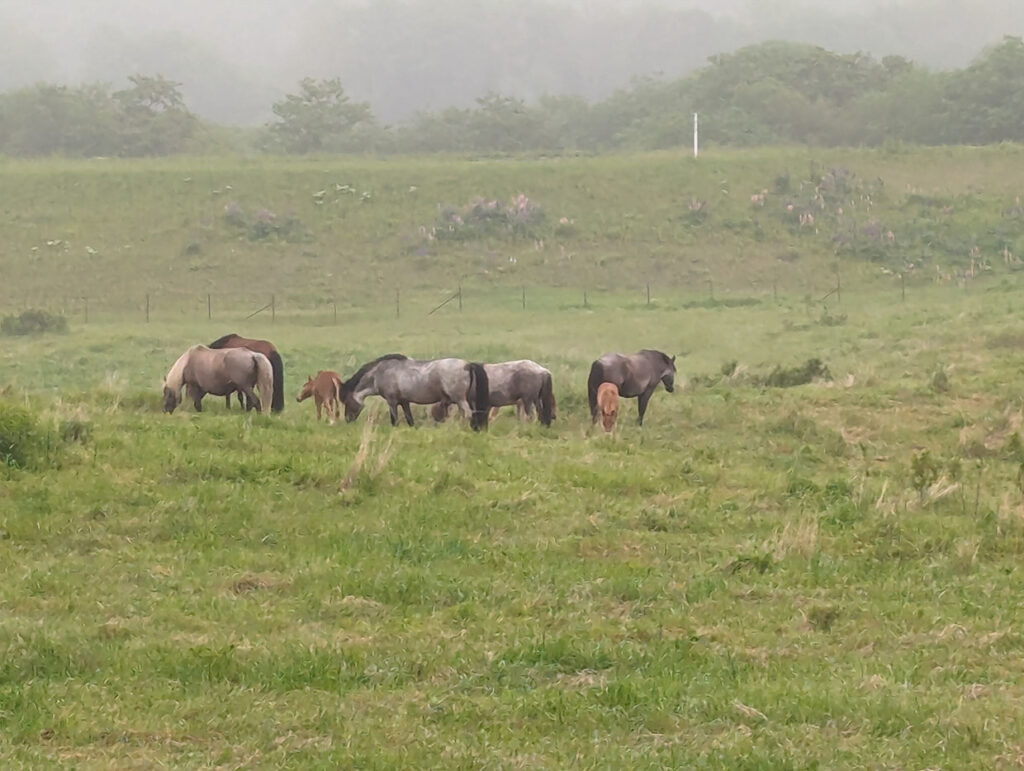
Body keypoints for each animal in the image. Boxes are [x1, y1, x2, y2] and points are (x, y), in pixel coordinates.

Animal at [339, 354, 491, 430]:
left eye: (346, 401)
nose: (347, 420)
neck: (380, 373)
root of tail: (468, 364)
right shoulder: (404, 402)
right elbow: (409, 419)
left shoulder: (391, 401)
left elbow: (394, 420)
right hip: (468, 399)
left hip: (460, 399)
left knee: (468, 414)